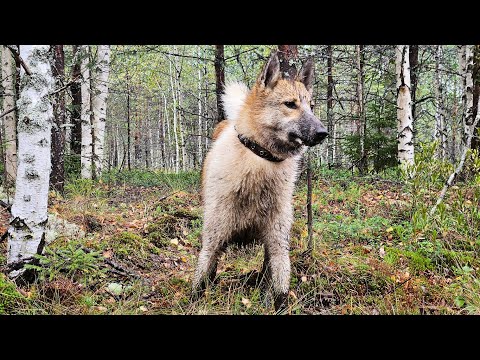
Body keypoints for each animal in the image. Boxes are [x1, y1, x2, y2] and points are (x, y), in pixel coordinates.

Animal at [193, 51, 328, 312]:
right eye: (290, 104)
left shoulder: (277, 244)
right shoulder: (213, 241)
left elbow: (280, 289)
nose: (322, 133)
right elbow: (201, 281)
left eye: (312, 106)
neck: (261, 159)